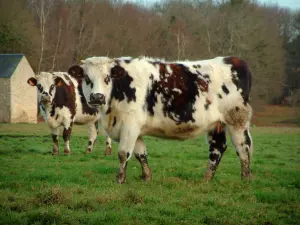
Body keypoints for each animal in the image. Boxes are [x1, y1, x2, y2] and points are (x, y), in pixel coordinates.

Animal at [68, 55, 253, 184]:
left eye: (107, 78)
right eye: (87, 79)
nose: (97, 97)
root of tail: (234, 60)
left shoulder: (130, 125)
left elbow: (123, 153)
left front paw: (120, 179)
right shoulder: (135, 129)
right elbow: (140, 154)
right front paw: (146, 177)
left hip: (237, 120)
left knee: (244, 147)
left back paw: (245, 178)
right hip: (216, 124)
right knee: (217, 149)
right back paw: (207, 178)